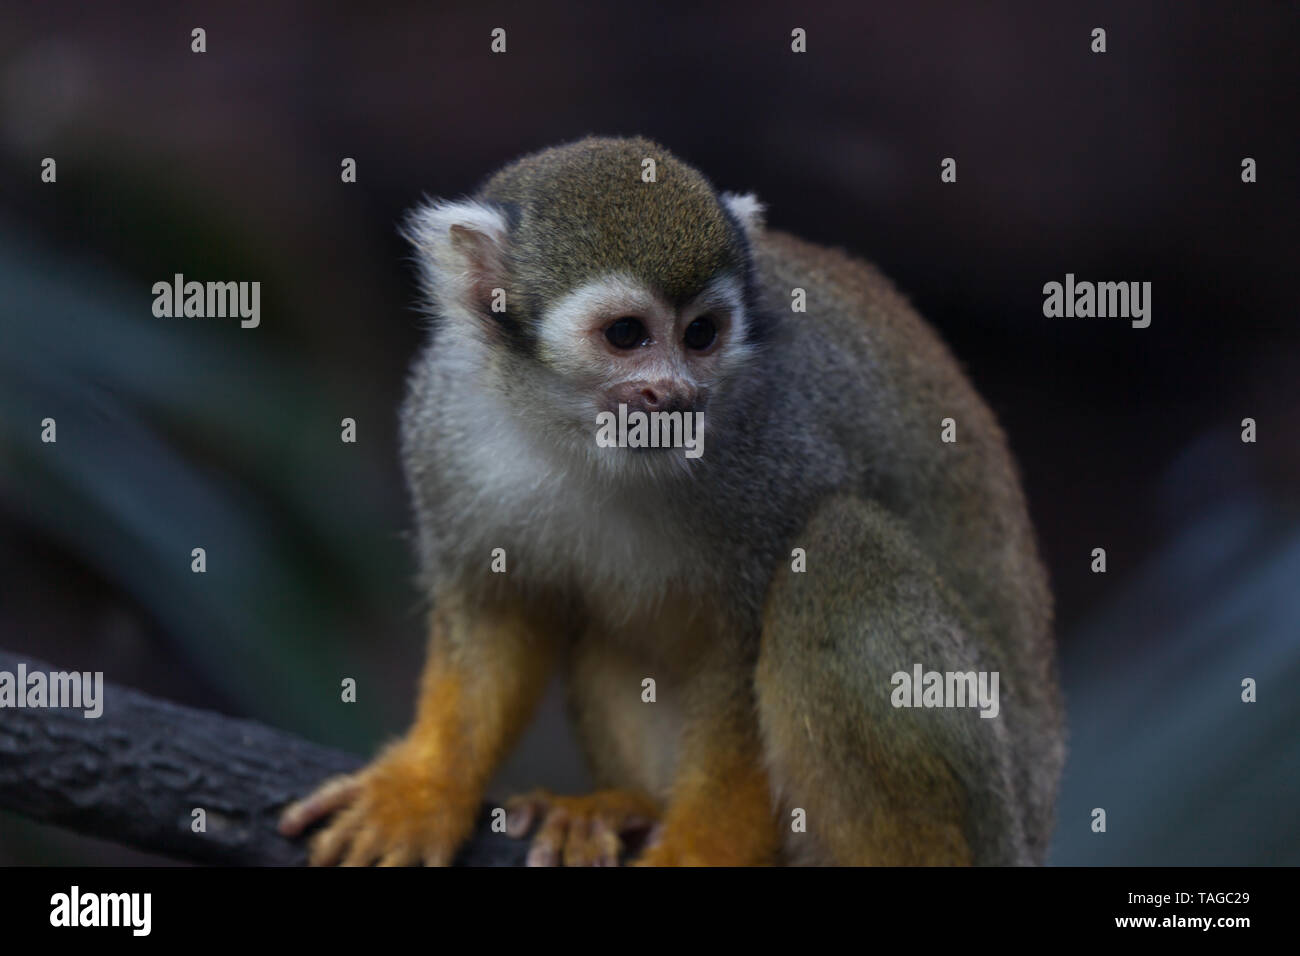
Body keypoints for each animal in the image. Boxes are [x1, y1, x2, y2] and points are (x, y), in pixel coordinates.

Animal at [278, 136, 1065, 866]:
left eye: (702, 335)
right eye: (627, 334)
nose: (677, 395)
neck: (574, 433)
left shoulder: (776, 440)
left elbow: (746, 647)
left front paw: (699, 849)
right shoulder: (445, 421)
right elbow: (496, 609)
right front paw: (423, 786)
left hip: (996, 809)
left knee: (841, 549)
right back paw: (622, 807)